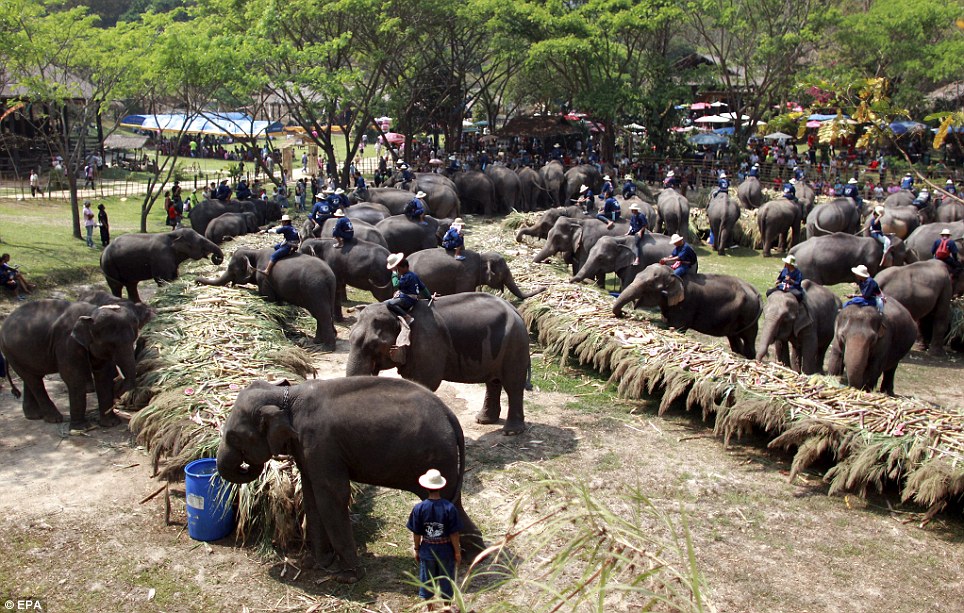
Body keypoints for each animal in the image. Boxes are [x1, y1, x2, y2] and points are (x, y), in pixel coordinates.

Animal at [0, 298, 150, 428]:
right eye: (111, 344)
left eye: (134, 338)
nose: (117, 393)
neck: (91, 313)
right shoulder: (67, 343)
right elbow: (74, 377)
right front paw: (81, 428)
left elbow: (103, 374)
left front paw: (111, 424)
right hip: (10, 351)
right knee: (33, 380)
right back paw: (54, 419)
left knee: (31, 377)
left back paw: (34, 416)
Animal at [198, 246, 340, 346]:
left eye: (232, 269)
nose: (196, 281)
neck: (254, 252)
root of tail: (330, 277)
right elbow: (278, 304)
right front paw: (283, 327)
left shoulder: (264, 278)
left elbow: (269, 299)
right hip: (322, 292)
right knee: (322, 314)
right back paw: (318, 341)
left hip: (315, 290)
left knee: (322, 314)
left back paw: (326, 348)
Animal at [344, 292, 532, 432]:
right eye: (350, 338)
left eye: (374, 344)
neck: (400, 313)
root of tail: (516, 310)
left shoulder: (427, 344)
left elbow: (425, 382)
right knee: (493, 382)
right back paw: (483, 420)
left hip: (515, 345)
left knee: (513, 384)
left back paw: (511, 431)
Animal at [612, 264, 760, 358]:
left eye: (649, 284)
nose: (623, 313)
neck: (674, 274)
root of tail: (756, 292)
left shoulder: (686, 304)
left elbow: (677, 327)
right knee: (734, 338)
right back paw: (738, 354)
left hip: (748, 316)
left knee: (749, 339)